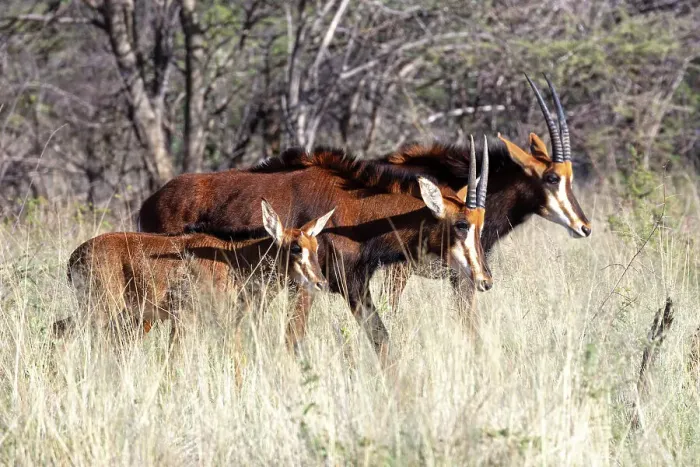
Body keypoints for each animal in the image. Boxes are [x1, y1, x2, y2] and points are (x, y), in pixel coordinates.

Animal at [54, 200, 334, 347]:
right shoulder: (184, 318)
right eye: (296, 247)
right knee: (63, 330)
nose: (320, 282)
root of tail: (74, 257)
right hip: (99, 308)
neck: (235, 260)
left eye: (316, 246)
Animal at [137, 139, 492, 365]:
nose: (485, 279)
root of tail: (148, 202)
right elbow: (292, 341)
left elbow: (382, 341)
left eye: (482, 223)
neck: (355, 213)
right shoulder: (305, 287)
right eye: (462, 225)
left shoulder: (355, 286)